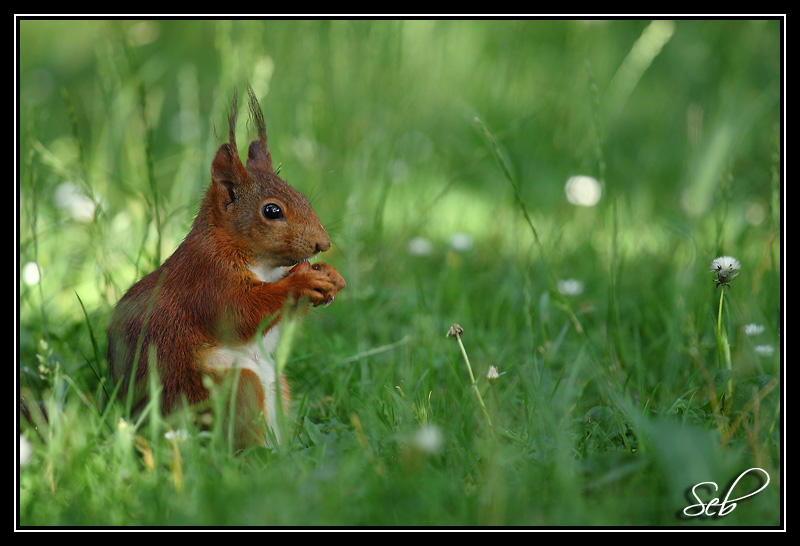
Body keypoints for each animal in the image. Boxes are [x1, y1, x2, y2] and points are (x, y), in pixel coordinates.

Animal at [106, 88, 344, 446]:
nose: (323, 244)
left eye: (303, 197)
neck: (262, 264)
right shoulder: (207, 279)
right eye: (272, 211)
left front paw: (329, 275)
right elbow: (239, 314)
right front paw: (300, 283)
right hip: (230, 390)